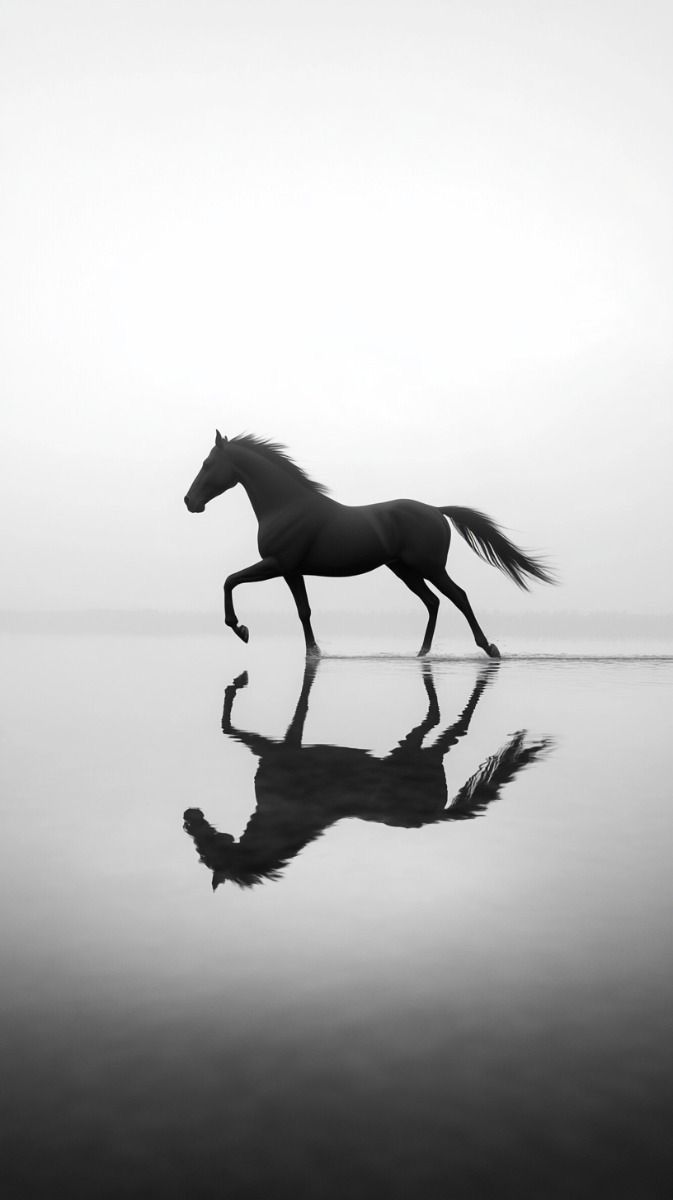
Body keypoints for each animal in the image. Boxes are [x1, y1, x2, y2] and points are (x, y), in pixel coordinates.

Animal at [183, 660, 551, 889]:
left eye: (204, 853)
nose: (189, 817)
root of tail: (435, 816)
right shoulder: (280, 745)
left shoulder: (273, 749)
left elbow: (227, 725)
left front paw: (238, 682)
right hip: (412, 749)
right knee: (440, 722)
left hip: (418, 752)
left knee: (453, 727)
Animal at [184, 431, 555, 656]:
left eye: (207, 463)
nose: (190, 501)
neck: (286, 506)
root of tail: (437, 510)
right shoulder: (293, 571)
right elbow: (303, 610)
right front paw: (313, 651)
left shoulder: (281, 565)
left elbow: (231, 581)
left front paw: (241, 629)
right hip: (404, 570)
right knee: (433, 602)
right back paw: (422, 652)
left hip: (429, 567)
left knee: (458, 597)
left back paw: (488, 648)